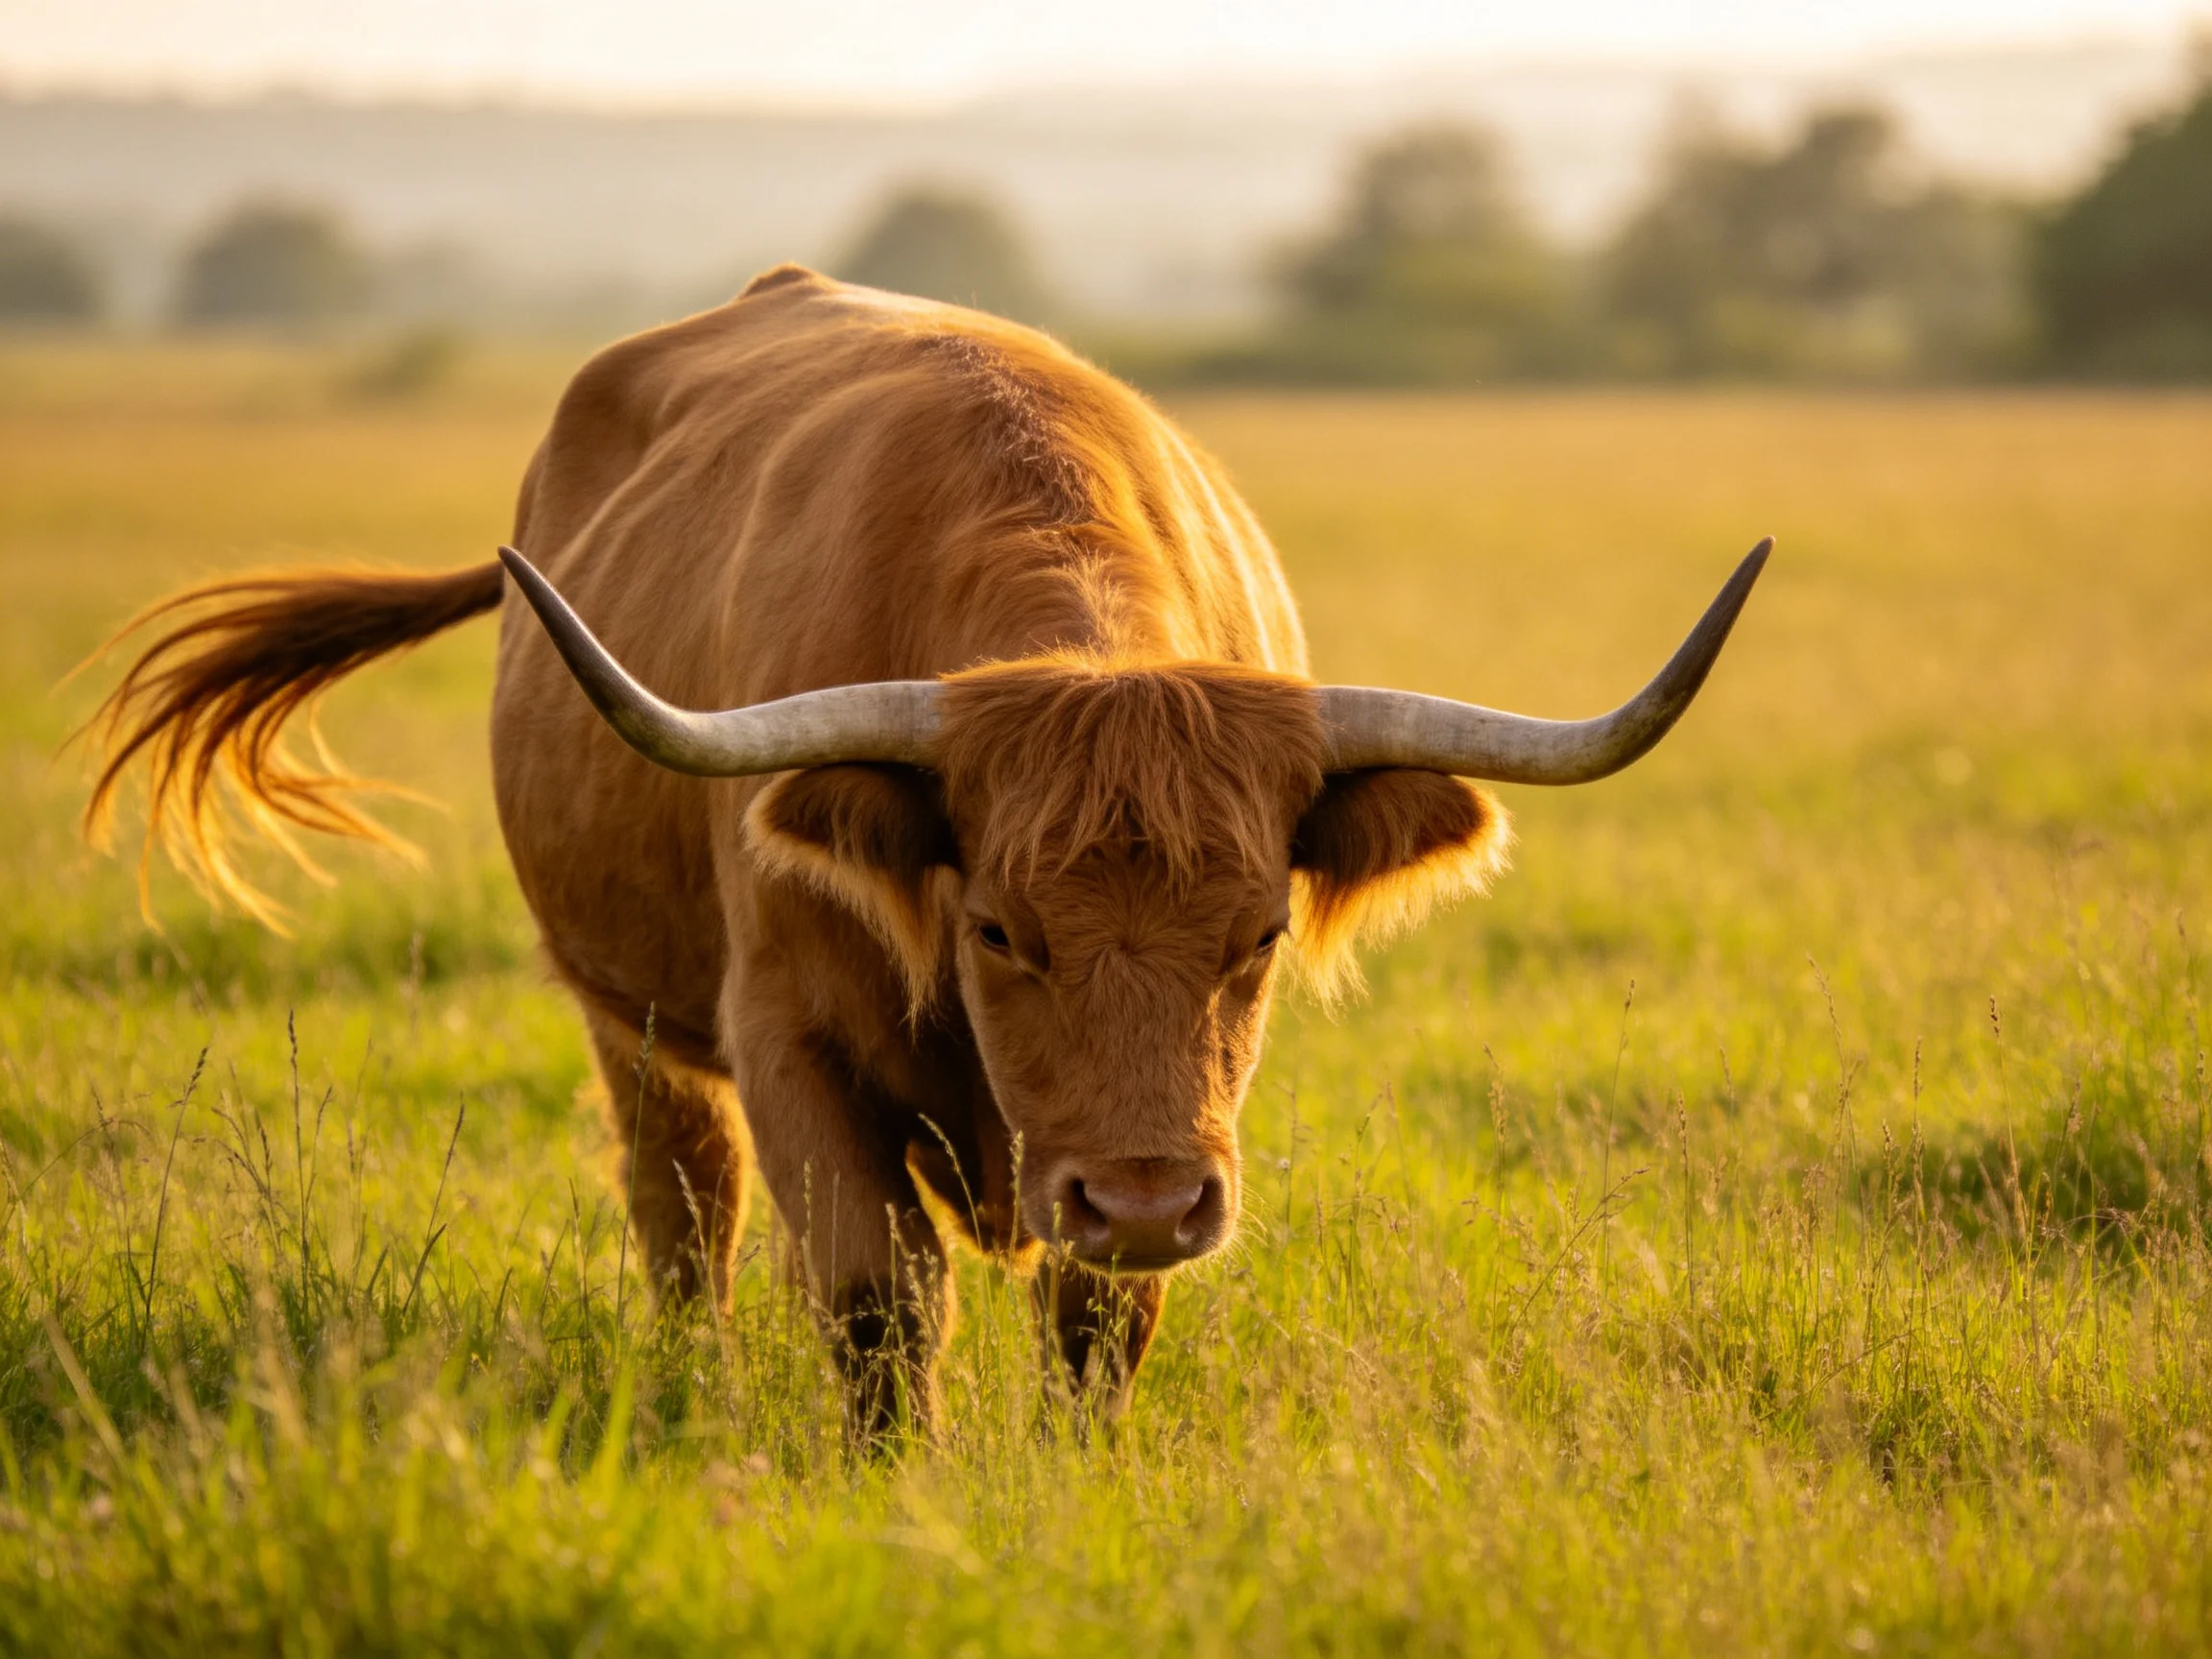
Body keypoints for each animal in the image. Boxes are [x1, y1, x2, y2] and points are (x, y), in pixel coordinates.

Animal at [83, 265, 1768, 1435]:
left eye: (1259, 935)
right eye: (1000, 928)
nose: (1147, 1205)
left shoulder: (1152, 1139)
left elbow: (1098, 1327)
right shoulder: (792, 1038)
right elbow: (880, 1297)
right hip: (627, 1010)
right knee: (684, 1206)